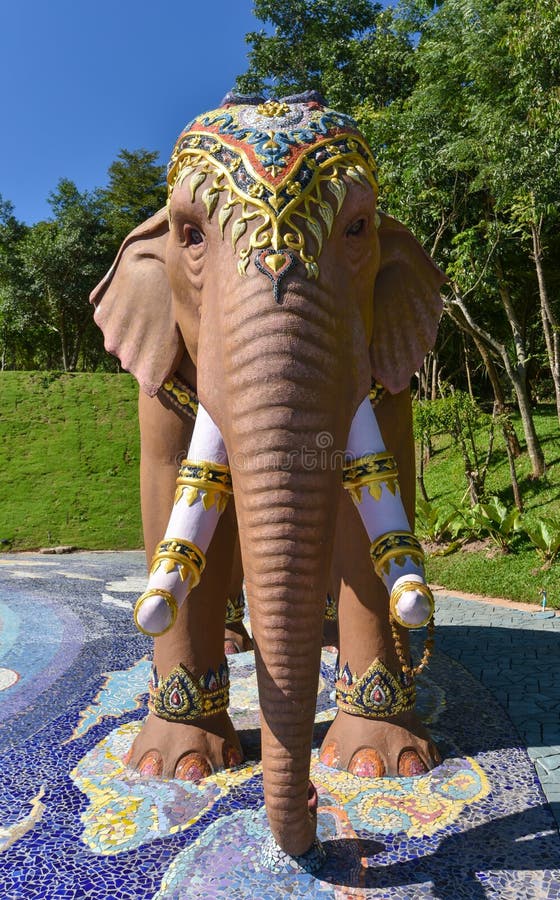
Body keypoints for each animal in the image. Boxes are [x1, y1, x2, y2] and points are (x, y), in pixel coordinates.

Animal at [90, 91, 445, 863]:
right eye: (190, 234)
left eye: (359, 228)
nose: (316, 808)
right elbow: (166, 487)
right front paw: (175, 767)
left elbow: (370, 504)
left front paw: (383, 763)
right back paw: (234, 646)